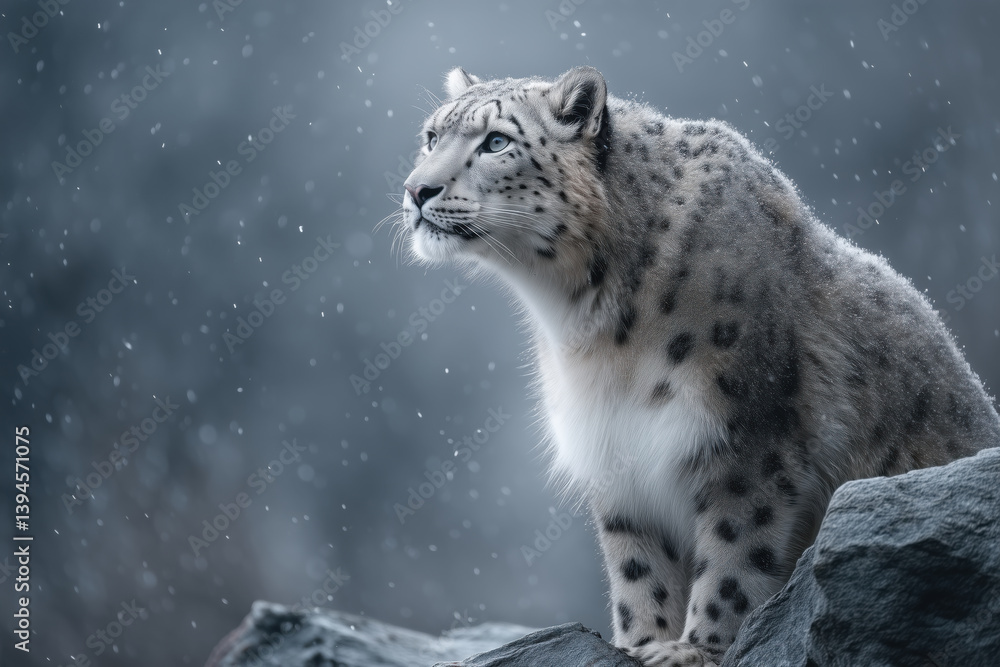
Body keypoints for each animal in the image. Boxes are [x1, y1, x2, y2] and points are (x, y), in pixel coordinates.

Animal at [393, 65, 1000, 666]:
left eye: (496, 142)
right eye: (431, 137)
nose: (416, 189)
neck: (588, 325)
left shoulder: (748, 438)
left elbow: (735, 552)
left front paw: (693, 648)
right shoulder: (615, 452)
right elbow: (637, 565)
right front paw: (640, 641)